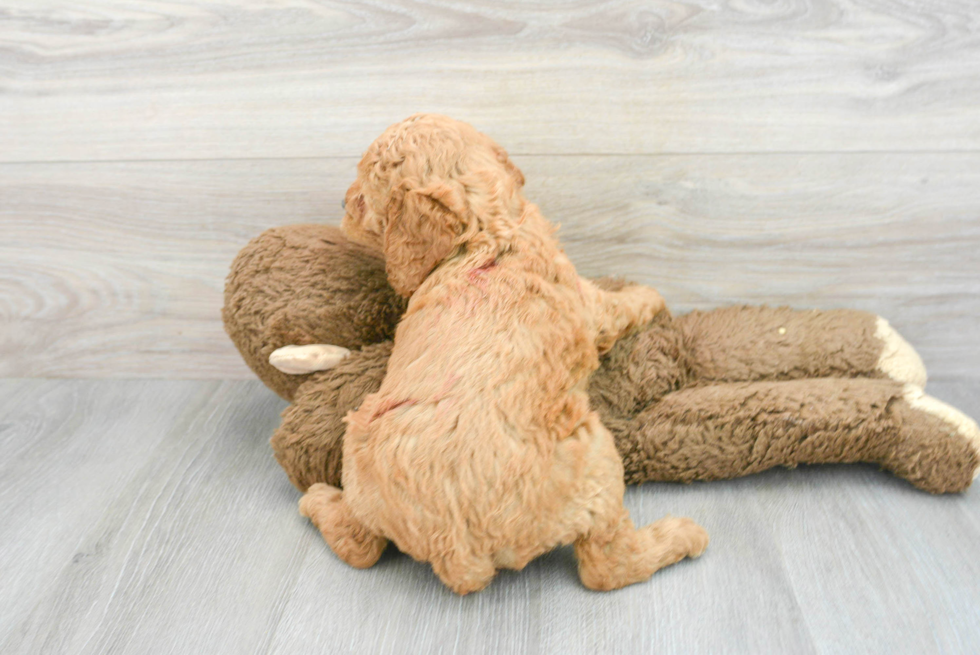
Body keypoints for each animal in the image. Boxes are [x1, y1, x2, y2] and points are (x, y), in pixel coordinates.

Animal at [298, 114, 704, 596]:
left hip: (360, 458)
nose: (343, 201)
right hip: (595, 460)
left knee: (358, 544)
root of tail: (457, 549)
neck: (487, 231)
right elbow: (623, 306)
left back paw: (318, 499)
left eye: (362, 197)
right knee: (607, 566)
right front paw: (652, 296)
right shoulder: (591, 306)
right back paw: (682, 536)